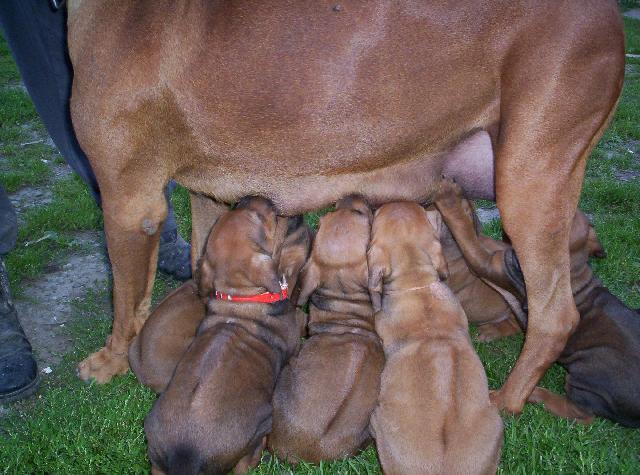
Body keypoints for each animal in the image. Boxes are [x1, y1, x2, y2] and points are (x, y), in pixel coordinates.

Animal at [67, 0, 624, 414]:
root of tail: (610, 15)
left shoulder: (128, 203)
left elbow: (125, 301)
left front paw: (110, 362)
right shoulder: (207, 193)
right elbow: (202, 259)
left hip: (530, 180)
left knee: (554, 313)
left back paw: (506, 400)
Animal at [143, 195, 312, 474]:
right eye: (261, 218)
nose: (249, 196)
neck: (240, 299)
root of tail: (184, 455)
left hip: (154, 453)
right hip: (263, 420)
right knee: (247, 459)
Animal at [432, 181, 640, 428]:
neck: (573, 265)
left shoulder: (492, 263)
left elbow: (467, 236)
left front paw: (452, 200)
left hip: (586, 381)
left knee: (582, 414)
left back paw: (533, 393)